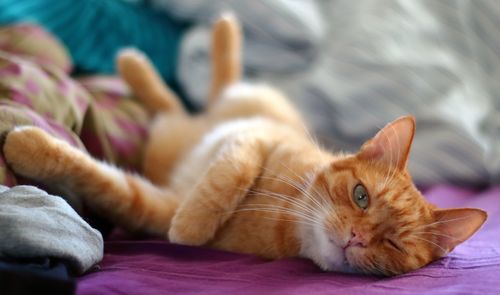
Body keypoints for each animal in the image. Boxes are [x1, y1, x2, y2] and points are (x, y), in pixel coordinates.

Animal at [1, 15, 486, 276]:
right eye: (361, 195)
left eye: (394, 245)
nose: (356, 237)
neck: (289, 218)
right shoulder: (253, 137)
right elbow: (230, 174)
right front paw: (195, 220)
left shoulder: (153, 207)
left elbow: (110, 184)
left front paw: (26, 146)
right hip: (241, 107)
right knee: (214, 87)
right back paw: (201, 40)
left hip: (169, 139)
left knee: (176, 105)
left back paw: (147, 64)